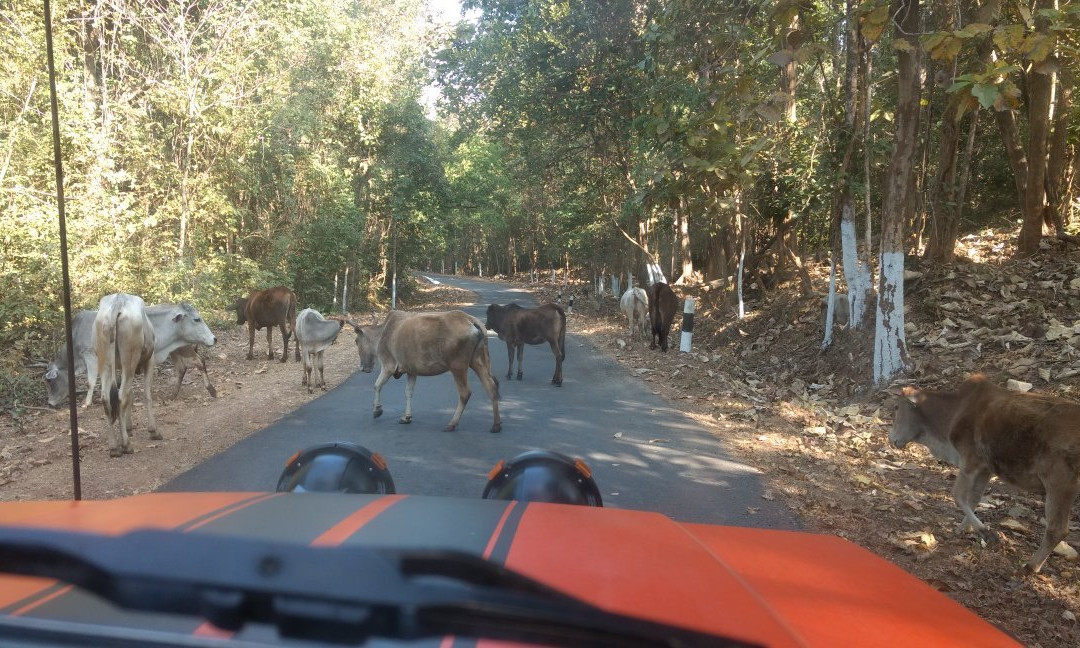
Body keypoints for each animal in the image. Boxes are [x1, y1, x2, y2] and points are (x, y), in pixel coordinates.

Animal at [356, 311, 503, 436]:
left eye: (357, 341)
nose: (363, 367)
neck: (380, 335)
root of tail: (473, 322)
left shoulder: (388, 366)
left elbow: (377, 385)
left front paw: (377, 410)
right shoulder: (411, 371)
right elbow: (408, 392)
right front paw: (406, 417)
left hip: (458, 366)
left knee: (465, 392)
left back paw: (452, 424)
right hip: (477, 360)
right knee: (491, 387)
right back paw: (496, 425)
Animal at [889, 371, 1080, 574]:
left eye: (896, 407)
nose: (891, 439)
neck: (954, 411)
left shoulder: (969, 462)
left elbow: (958, 495)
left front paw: (986, 533)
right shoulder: (984, 468)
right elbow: (973, 499)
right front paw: (963, 529)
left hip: (1060, 484)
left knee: (1056, 529)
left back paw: (1031, 566)